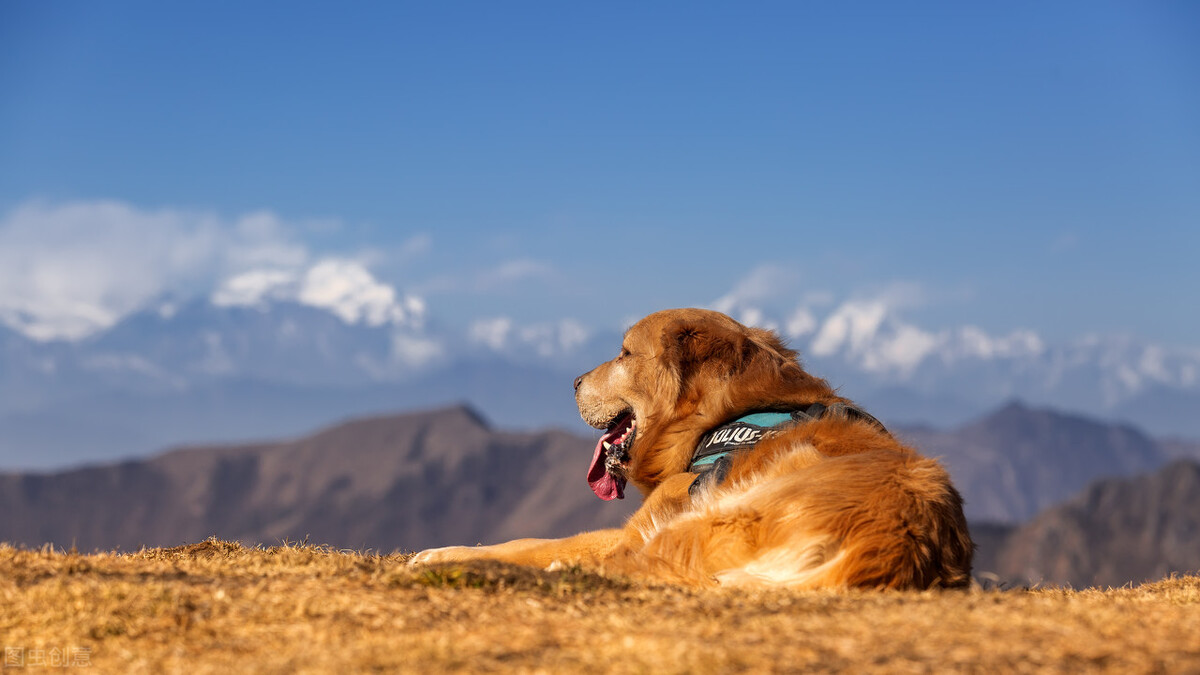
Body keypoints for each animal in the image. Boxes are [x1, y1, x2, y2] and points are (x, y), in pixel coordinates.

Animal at [415, 307, 974, 586]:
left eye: (624, 353)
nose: (572, 381)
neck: (723, 416)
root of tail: (900, 546)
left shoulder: (645, 524)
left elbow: (531, 543)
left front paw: (444, 555)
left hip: (713, 515)